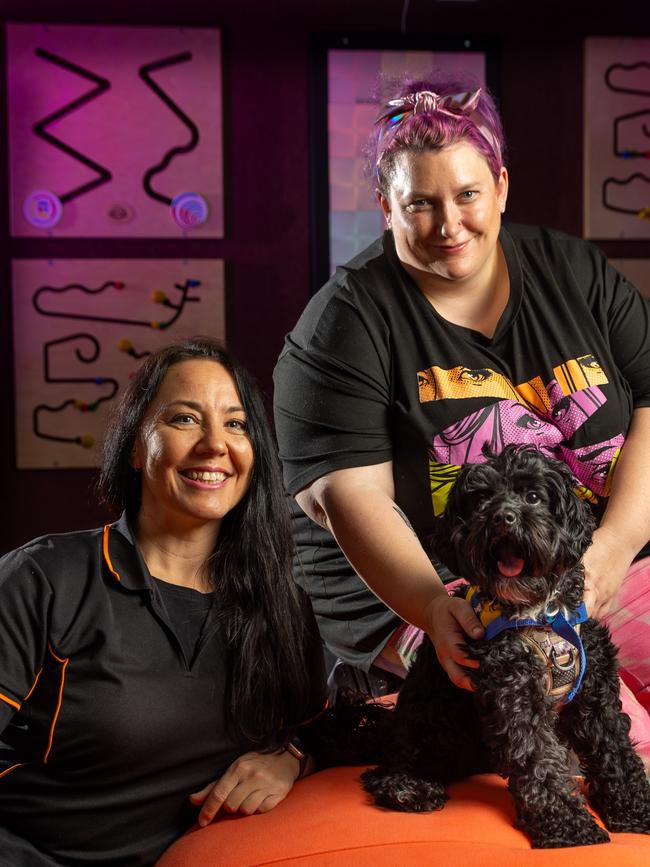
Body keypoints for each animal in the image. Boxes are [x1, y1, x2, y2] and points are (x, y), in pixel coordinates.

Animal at [360, 448, 648, 848]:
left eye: (533, 497)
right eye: (481, 500)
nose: (502, 517)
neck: (540, 612)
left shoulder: (595, 691)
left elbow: (615, 751)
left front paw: (636, 811)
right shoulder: (514, 693)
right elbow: (538, 762)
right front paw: (566, 825)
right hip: (420, 727)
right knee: (384, 770)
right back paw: (409, 789)